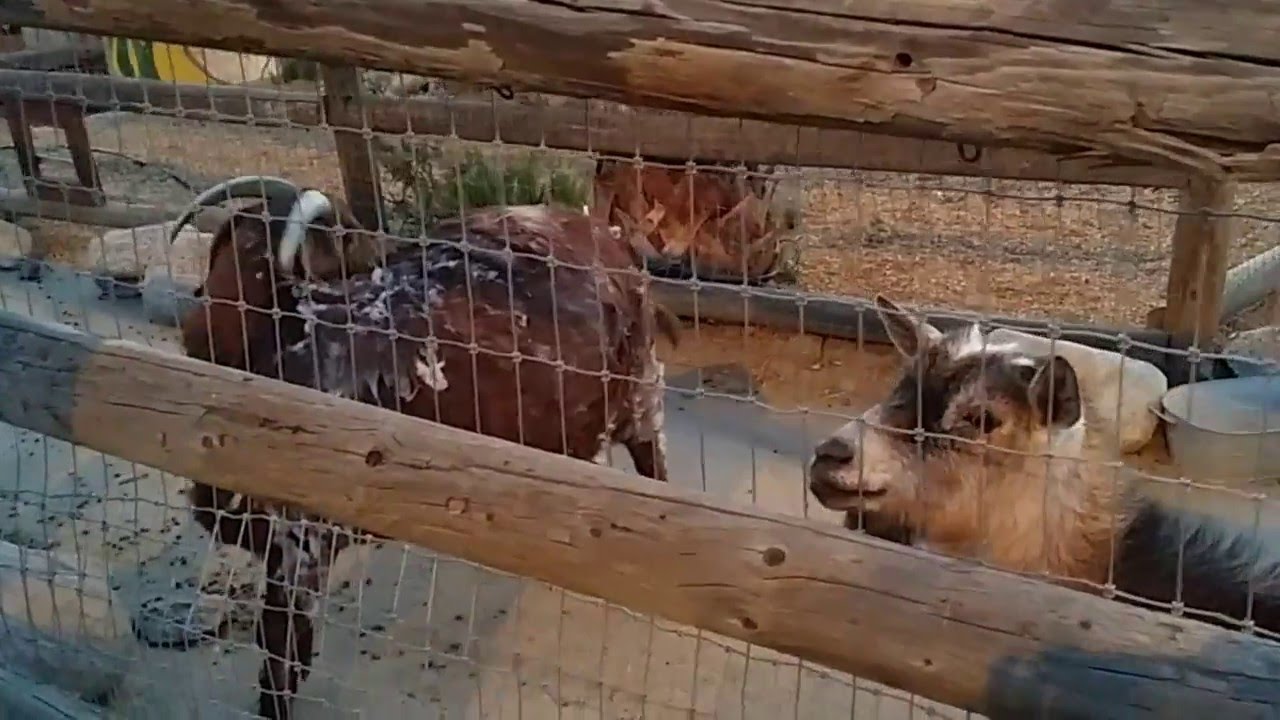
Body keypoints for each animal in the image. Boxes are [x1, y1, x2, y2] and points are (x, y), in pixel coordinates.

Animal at [165, 175, 680, 718]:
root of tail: (610, 237)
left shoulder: (302, 539)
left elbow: (278, 639)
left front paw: (274, 701)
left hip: (642, 390)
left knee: (654, 462)